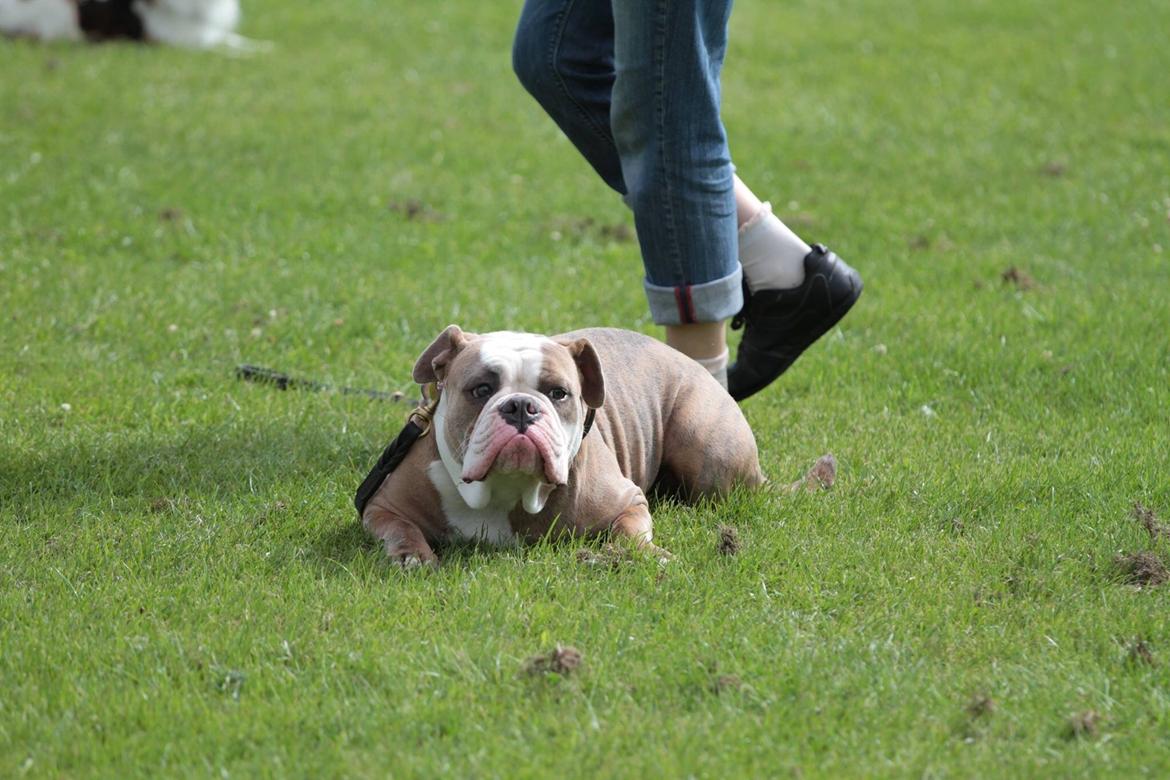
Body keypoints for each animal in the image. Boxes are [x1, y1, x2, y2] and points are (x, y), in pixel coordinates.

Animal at [365, 325, 767, 568]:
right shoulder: (382, 506)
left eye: (558, 393)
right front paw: (411, 556)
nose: (521, 406)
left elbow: (630, 533)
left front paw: (647, 554)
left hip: (704, 449)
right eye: (481, 389)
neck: (505, 490)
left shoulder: (629, 501)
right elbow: (401, 529)